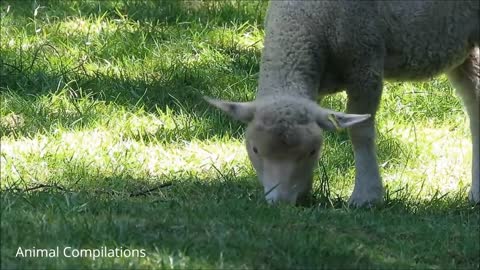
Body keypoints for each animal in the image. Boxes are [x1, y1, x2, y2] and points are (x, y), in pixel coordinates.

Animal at [206, 0, 480, 207]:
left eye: (312, 152)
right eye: (254, 150)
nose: (280, 203)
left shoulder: (365, 61)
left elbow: (360, 133)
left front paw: (366, 196)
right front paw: (305, 190)